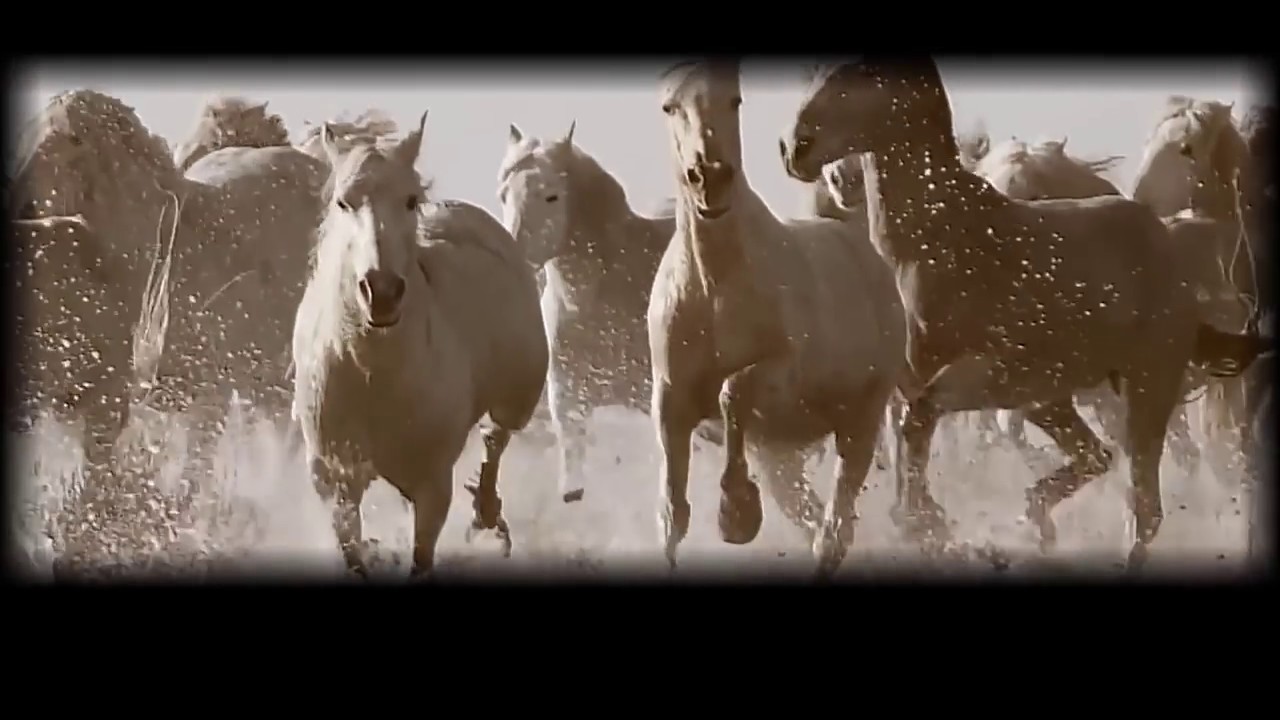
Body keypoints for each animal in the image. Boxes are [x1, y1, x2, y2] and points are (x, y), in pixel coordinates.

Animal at [291, 113, 548, 577]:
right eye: (343, 202)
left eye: (410, 201)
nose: (382, 292)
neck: (371, 375)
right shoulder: (336, 479)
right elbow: (353, 555)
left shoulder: (432, 485)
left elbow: (422, 559)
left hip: (517, 398)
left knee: (495, 438)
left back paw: (487, 515)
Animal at [649, 60, 907, 576]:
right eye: (670, 106)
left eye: (735, 100)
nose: (710, 177)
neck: (713, 288)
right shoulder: (669, 399)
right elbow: (672, 514)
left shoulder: (782, 374)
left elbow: (732, 391)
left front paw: (735, 512)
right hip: (782, 454)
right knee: (810, 518)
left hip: (861, 422)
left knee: (833, 530)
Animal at [781, 59, 1269, 568]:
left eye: (861, 75)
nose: (796, 149)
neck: (937, 241)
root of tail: (1168, 243)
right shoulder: (896, 389)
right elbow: (873, 484)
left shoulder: (988, 377)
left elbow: (918, 435)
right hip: (1057, 400)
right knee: (1098, 459)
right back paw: (1039, 520)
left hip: (1146, 388)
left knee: (1145, 506)